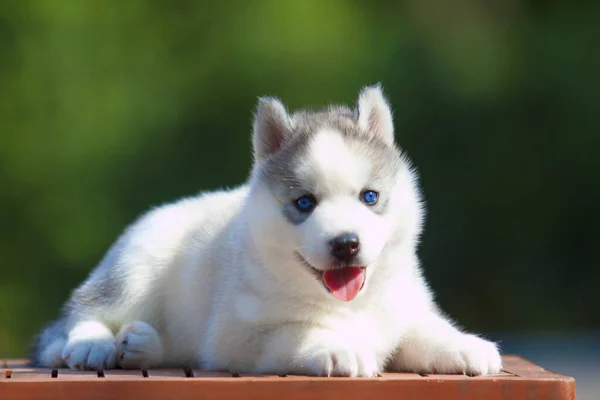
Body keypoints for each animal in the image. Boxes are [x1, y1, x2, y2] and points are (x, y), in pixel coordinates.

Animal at [31, 85, 502, 378]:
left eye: (370, 197)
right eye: (305, 203)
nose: (346, 244)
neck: (348, 304)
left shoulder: (401, 310)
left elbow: (422, 329)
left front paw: (464, 345)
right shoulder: (239, 334)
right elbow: (297, 331)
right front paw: (339, 347)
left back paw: (141, 345)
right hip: (136, 269)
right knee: (83, 311)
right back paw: (93, 344)